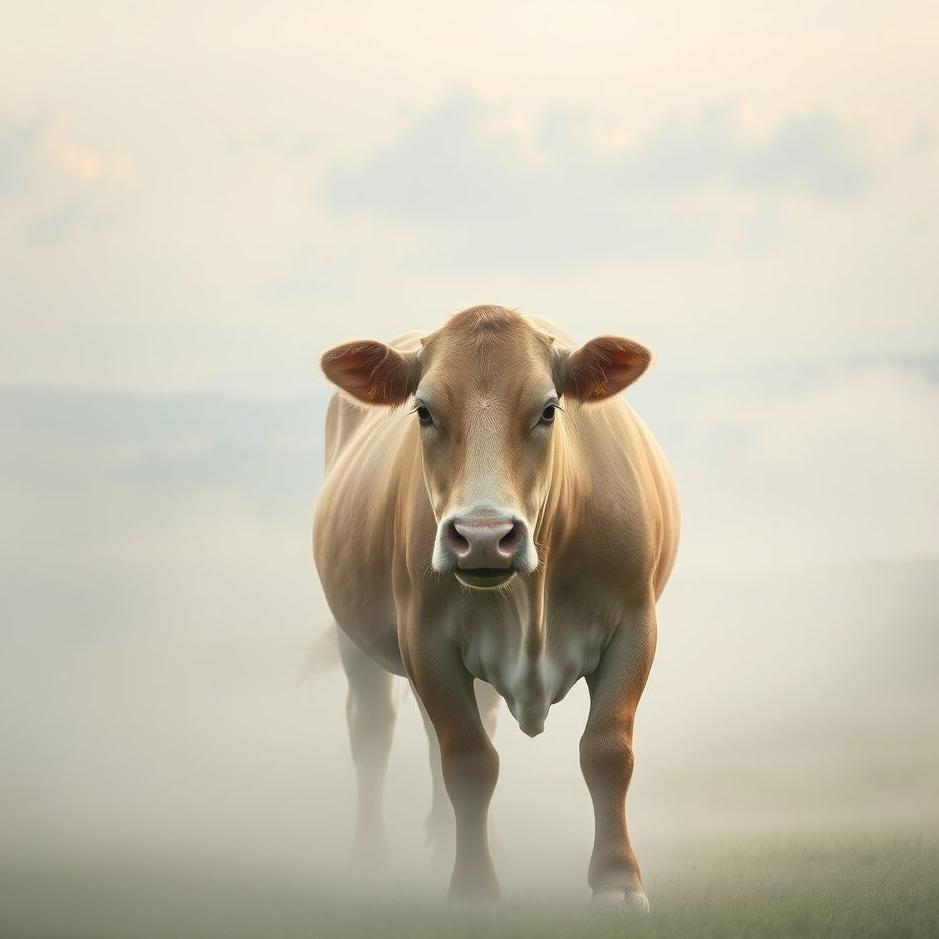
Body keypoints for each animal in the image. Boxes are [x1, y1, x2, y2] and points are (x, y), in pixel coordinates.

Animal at [313, 305, 679, 912]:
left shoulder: (635, 621)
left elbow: (607, 752)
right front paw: (472, 889)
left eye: (549, 408)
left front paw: (617, 881)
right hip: (352, 635)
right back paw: (369, 864)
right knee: (372, 731)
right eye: (424, 410)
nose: (483, 537)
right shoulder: (426, 638)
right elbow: (468, 762)